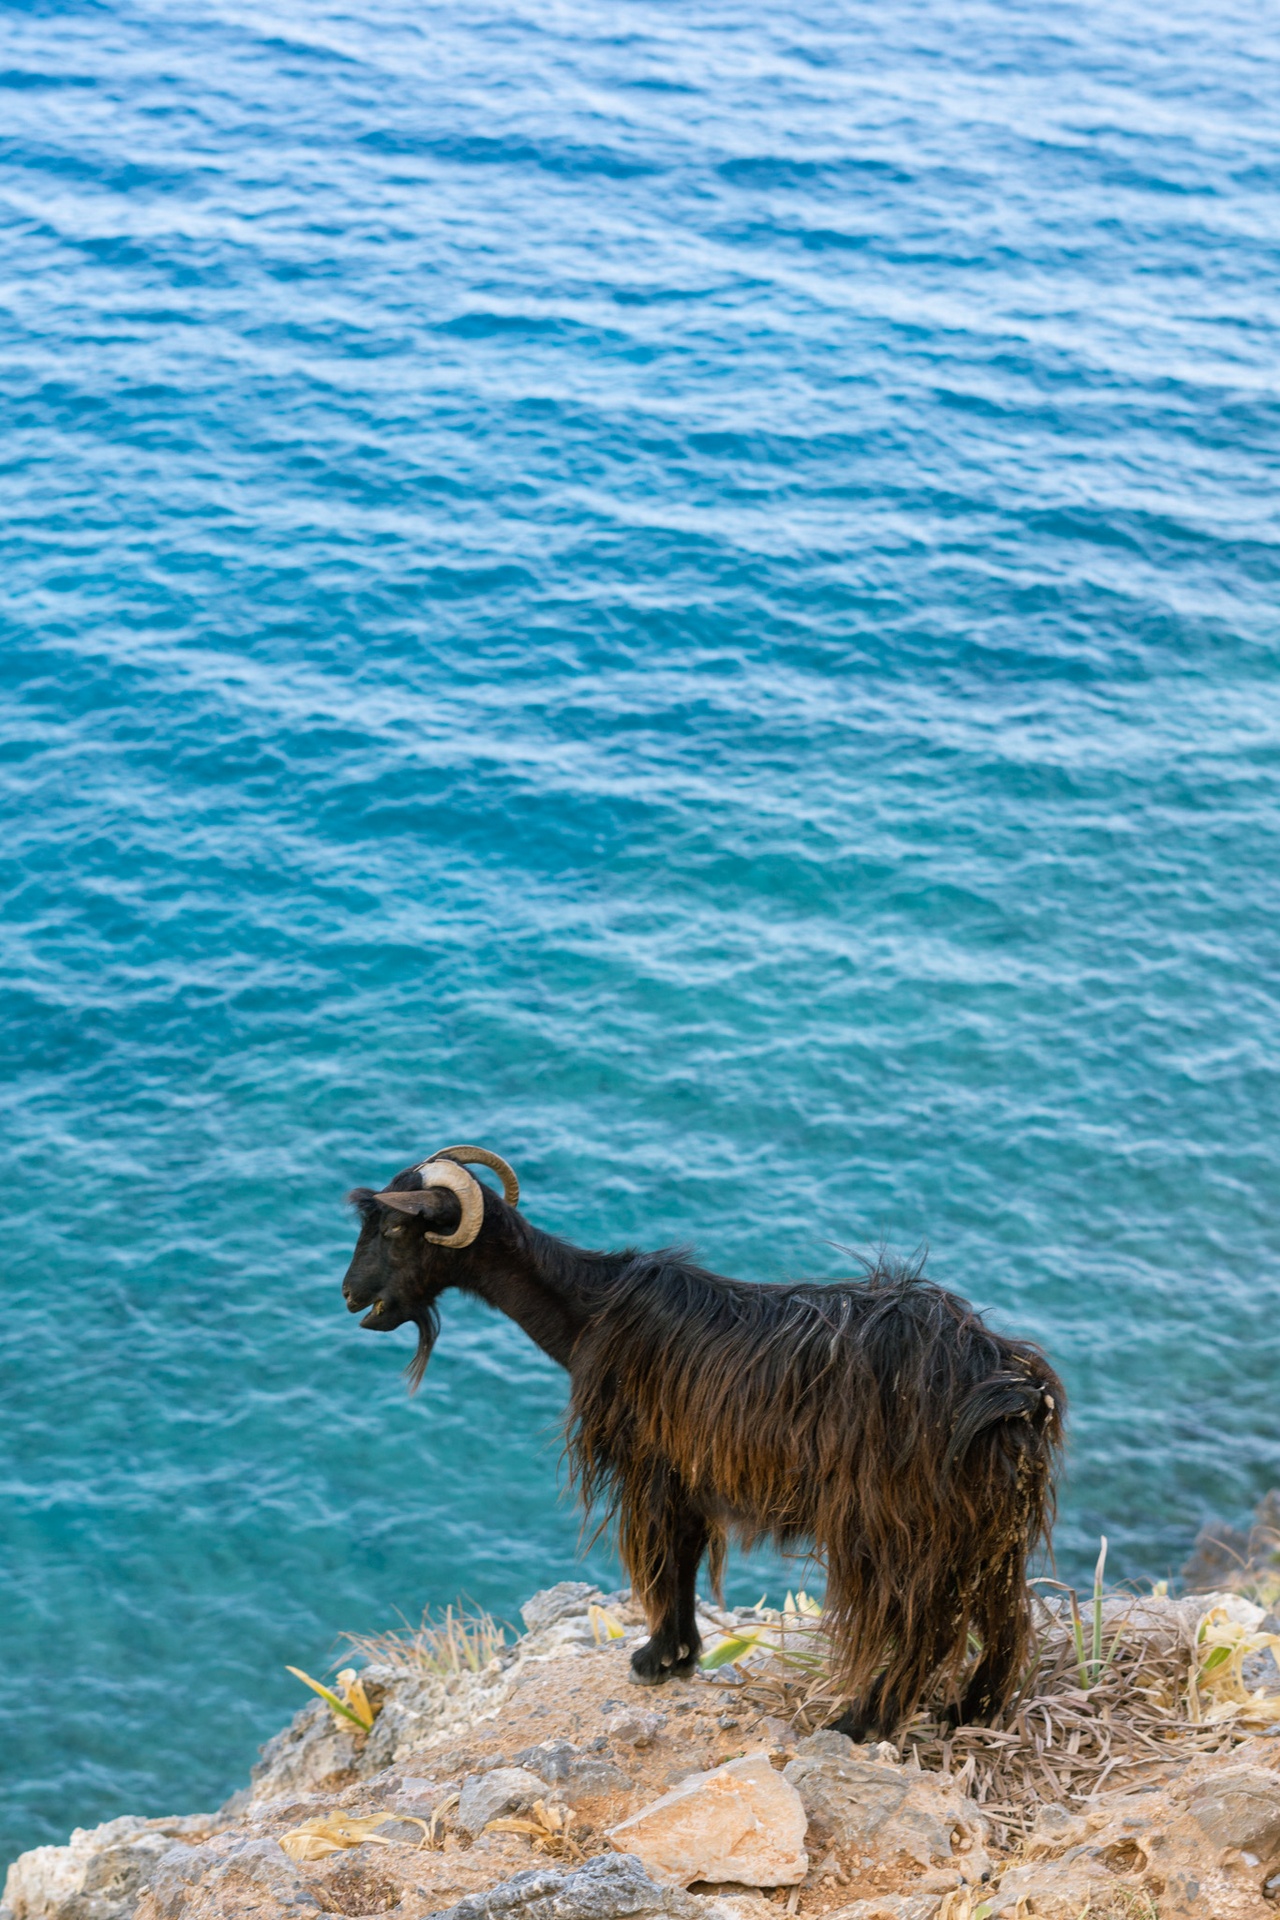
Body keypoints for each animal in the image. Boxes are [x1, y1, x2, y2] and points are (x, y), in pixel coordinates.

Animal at [340, 1144, 1065, 1737]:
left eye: (397, 1228)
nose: (350, 1295)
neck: (591, 1309)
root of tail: (1018, 1395)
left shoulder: (652, 1469)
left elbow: (667, 1559)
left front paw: (655, 1660)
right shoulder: (687, 1477)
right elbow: (685, 1555)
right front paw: (680, 1656)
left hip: (897, 1528)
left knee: (921, 1628)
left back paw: (862, 1722)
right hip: (986, 1532)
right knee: (1005, 1614)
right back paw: (970, 1710)